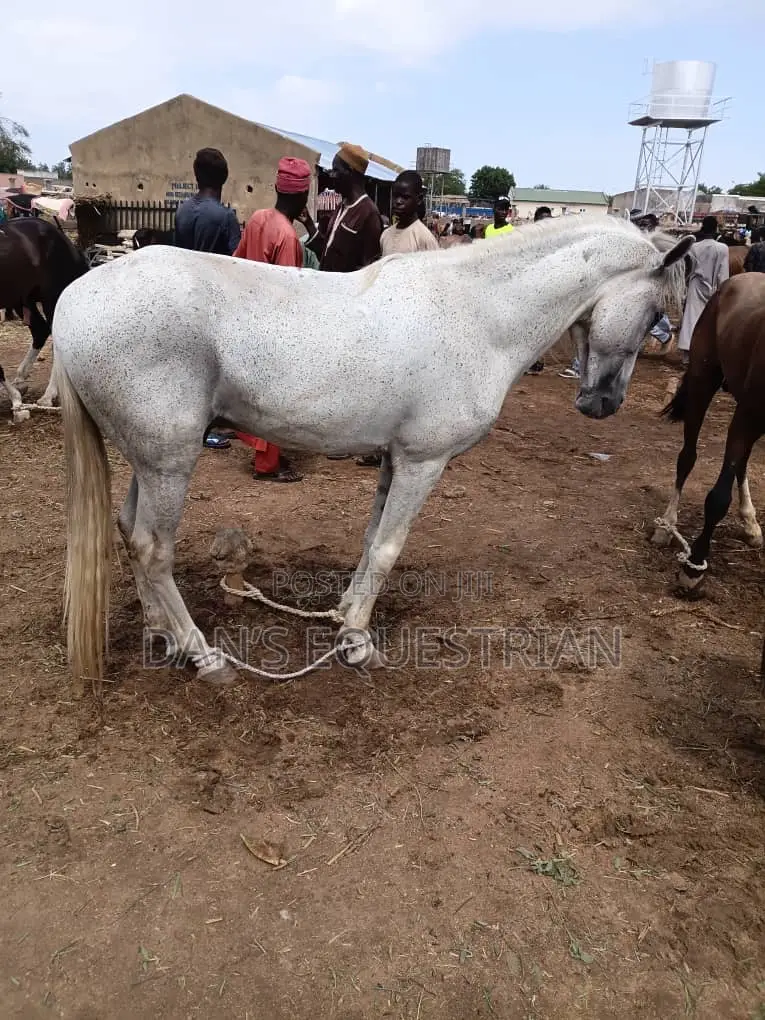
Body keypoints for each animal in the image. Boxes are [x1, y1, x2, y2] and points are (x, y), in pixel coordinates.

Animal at [0, 217, 89, 417]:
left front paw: (17, 404)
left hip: (51, 298)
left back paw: (47, 396)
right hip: (24, 299)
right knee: (40, 331)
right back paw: (21, 379)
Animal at [50, 216, 692, 689]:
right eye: (657, 312)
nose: (605, 402)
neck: (478, 313)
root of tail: (74, 299)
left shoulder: (392, 458)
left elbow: (369, 539)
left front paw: (342, 617)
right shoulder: (423, 462)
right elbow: (388, 548)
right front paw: (358, 643)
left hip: (153, 458)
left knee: (128, 531)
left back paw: (162, 635)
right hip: (170, 461)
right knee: (153, 549)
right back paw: (202, 654)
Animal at [652, 273, 765, 597]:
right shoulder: (748, 416)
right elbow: (717, 498)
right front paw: (693, 567)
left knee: (741, 462)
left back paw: (750, 522)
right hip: (704, 380)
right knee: (687, 457)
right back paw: (667, 525)